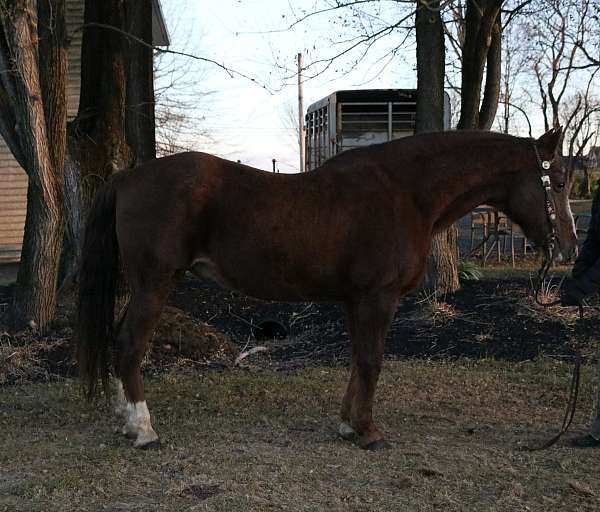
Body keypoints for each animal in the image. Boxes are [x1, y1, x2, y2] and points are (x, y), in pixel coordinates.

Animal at [76, 128, 576, 448]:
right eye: (558, 181)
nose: (569, 246)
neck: (404, 194)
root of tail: (129, 176)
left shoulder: (357, 301)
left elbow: (358, 360)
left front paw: (347, 425)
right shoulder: (377, 298)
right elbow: (373, 361)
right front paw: (368, 433)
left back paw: (126, 422)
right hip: (154, 284)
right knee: (130, 345)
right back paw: (144, 430)